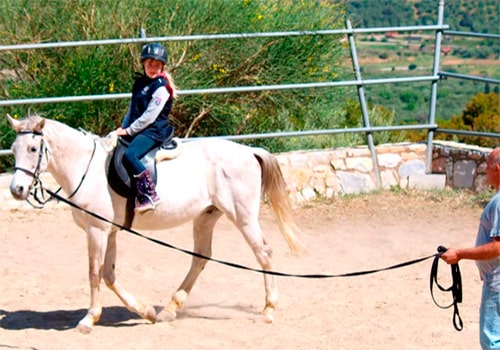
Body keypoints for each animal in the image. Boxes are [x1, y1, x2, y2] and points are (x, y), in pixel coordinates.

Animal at [6, 115, 304, 334]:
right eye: (14, 150)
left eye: (33, 149)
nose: (17, 189)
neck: (86, 169)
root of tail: (249, 151)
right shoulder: (109, 232)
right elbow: (109, 275)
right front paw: (146, 311)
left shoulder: (97, 230)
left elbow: (94, 274)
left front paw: (88, 320)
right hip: (206, 216)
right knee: (201, 257)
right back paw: (169, 309)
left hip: (242, 216)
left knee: (263, 253)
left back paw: (268, 310)